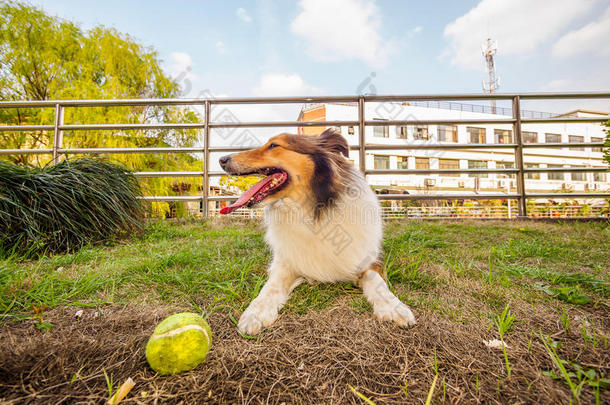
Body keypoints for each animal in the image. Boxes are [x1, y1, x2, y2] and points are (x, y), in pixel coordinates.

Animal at [217, 129, 414, 334]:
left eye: (273, 145)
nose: (222, 159)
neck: (311, 211)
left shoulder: (368, 259)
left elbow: (377, 282)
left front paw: (394, 308)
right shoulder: (285, 261)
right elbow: (271, 286)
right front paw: (255, 313)